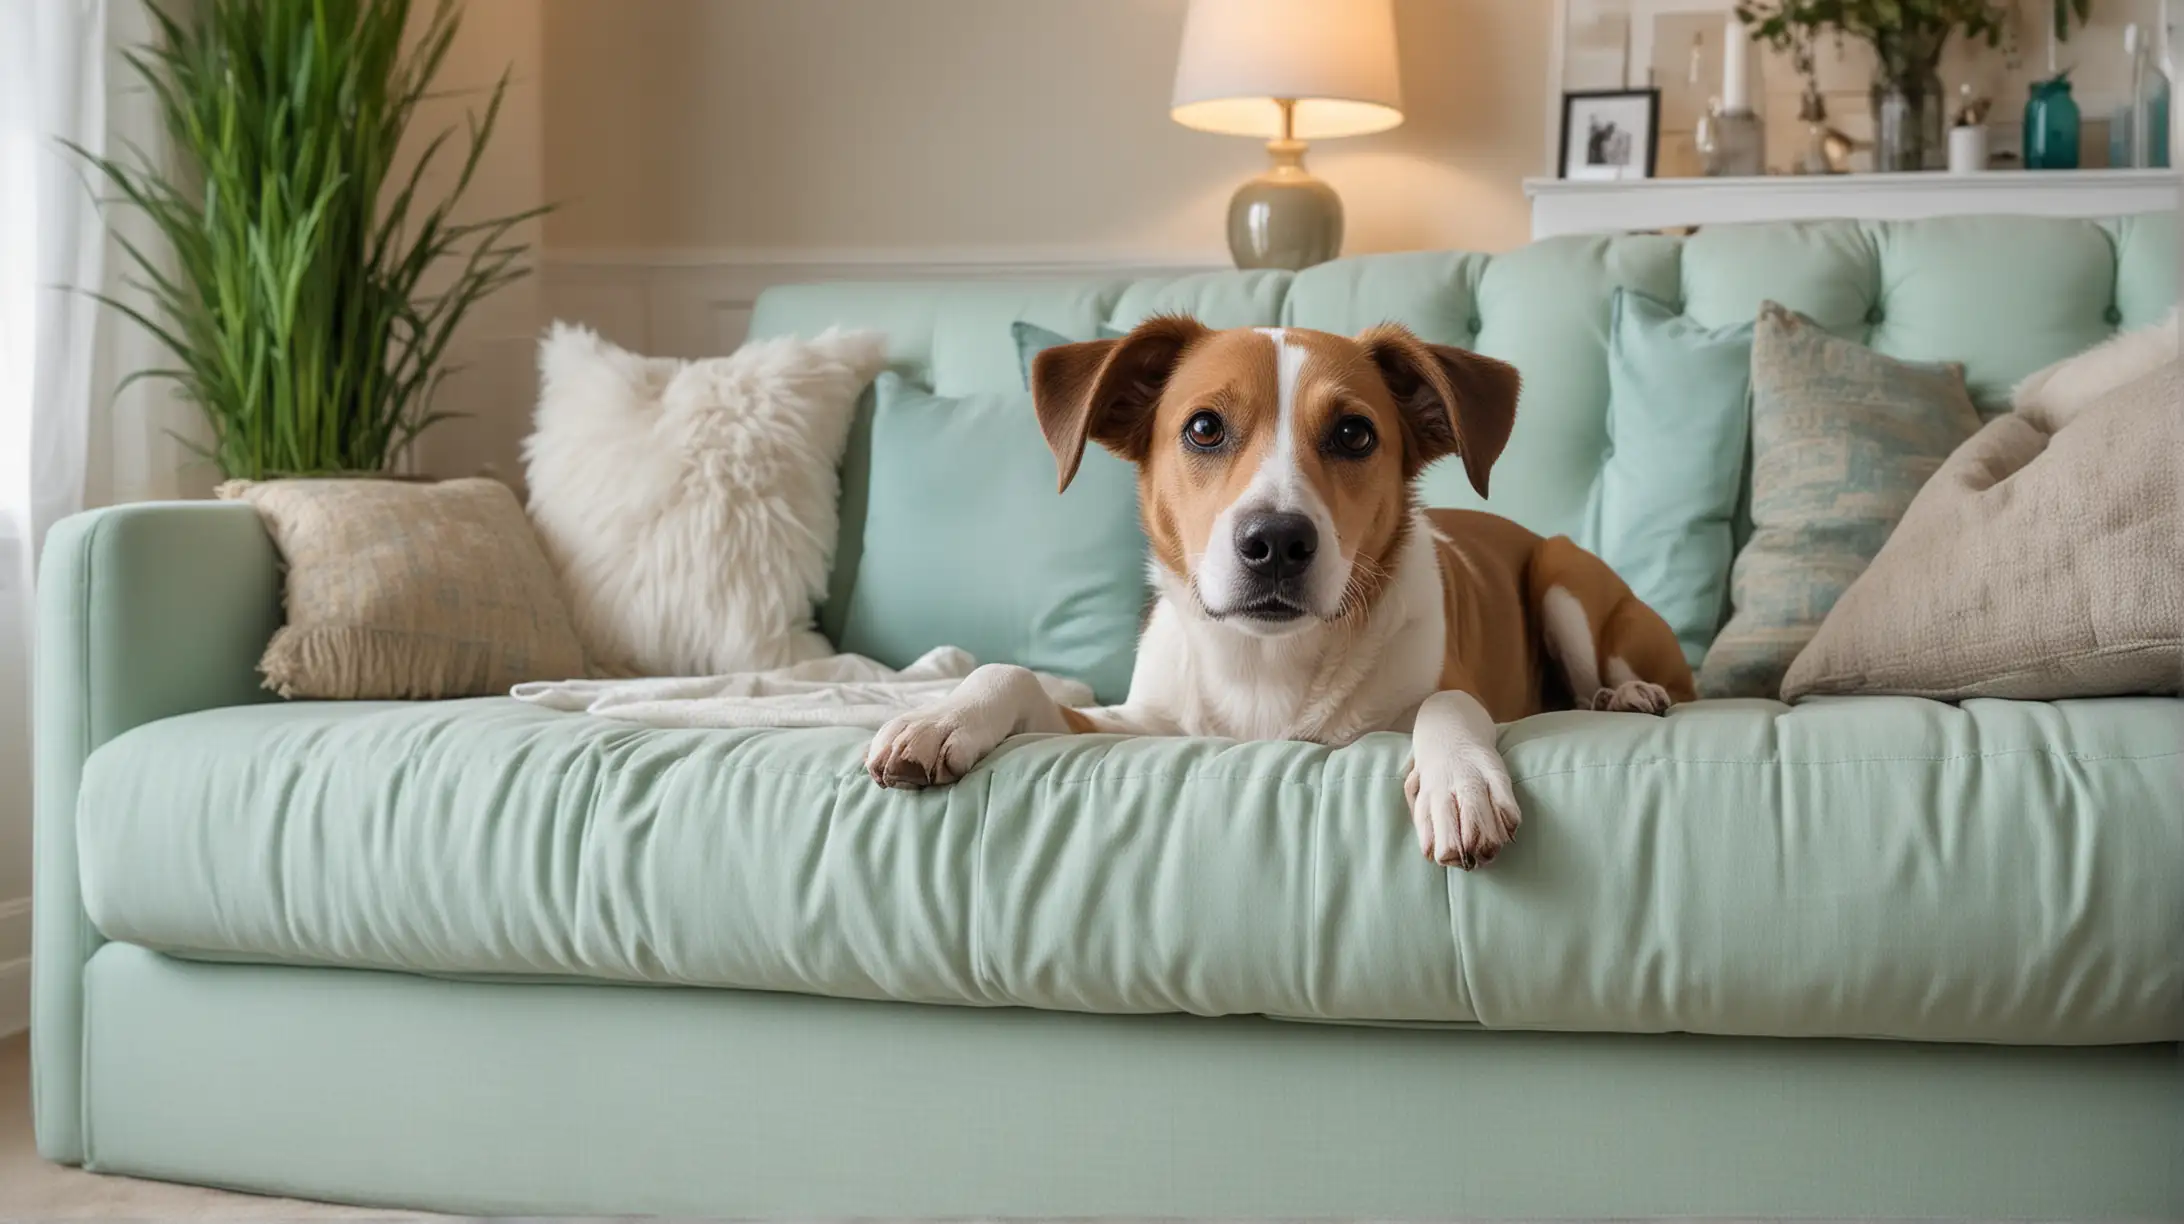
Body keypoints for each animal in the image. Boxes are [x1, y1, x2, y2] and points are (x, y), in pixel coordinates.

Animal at [860, 314, 1694, 869]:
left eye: (1355, 434)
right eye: (1203, 428)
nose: (1276, 543)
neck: (1266, 664)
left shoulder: (1460, 685)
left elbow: (1450, 704)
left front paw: (1462, 781)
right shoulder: (1142, 724)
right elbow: (1015, 675)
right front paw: (942, 716)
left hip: (1562, 574)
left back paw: (1627, 695)